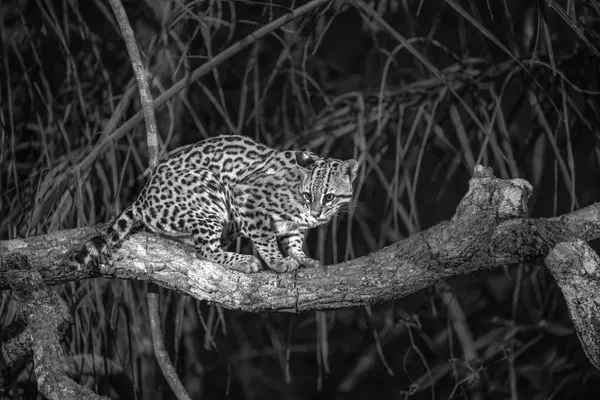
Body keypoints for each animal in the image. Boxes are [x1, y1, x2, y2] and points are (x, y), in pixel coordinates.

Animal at [73, 134, 358, 272]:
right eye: (309, 195)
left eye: (329, 196)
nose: (317, 213)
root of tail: (142, 196)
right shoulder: (244, 197)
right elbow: (266, 238)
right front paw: (278, 261)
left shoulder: (291, 224)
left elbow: (293, 239)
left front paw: (301, 257)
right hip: (210, 197)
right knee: (205, 250)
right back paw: (243, 261)